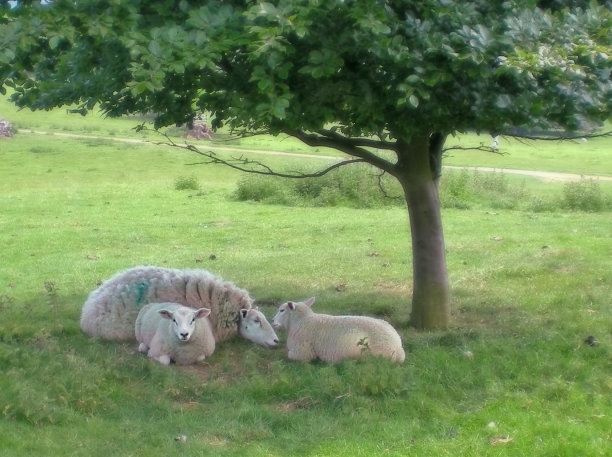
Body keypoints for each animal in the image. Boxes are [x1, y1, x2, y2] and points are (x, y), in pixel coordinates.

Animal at [272, 296, 406, 364]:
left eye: (282, 310)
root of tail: (399, 348)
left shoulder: (302, 352)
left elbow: (290, 356)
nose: (272, 321)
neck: (301, 321)